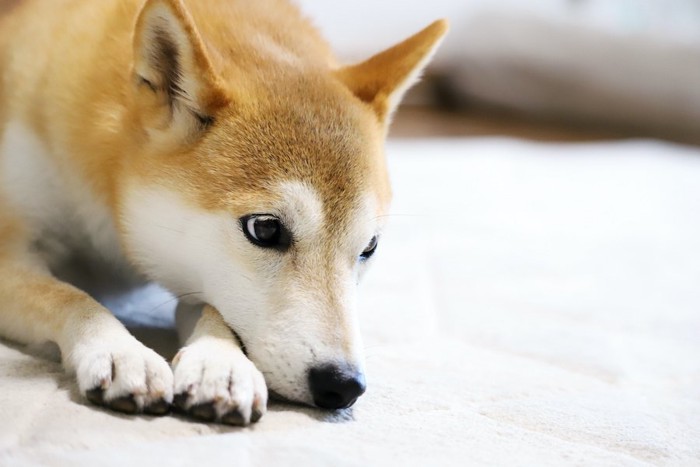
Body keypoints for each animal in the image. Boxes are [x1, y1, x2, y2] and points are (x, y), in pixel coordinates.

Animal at [0, 0, 448, 426]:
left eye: (368, 248)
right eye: (265, 229)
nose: (344, 384)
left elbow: (214, 309)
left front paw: (220, 363)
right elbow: (71, 296)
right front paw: (120, 350)